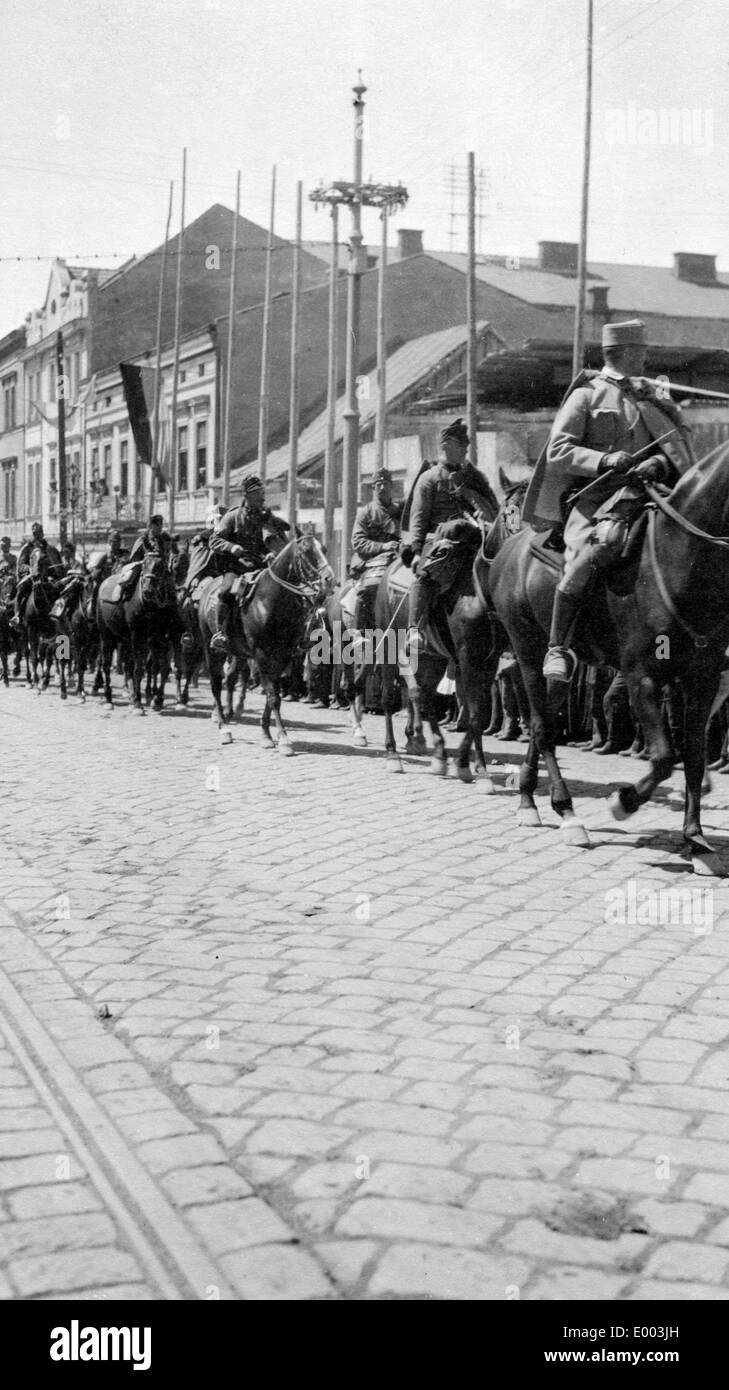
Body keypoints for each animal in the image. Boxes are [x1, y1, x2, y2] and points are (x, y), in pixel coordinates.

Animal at [96, 547, 176, 711]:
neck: (152, 607)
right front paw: (138, 703)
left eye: (161, 566)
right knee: (106, 664)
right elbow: (139, 669)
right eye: (144, 564)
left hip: (125, 639)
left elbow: (163, 668)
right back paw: (108, 698)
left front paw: (157, 699)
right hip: (107, 635)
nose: (147, 590)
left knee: (129, 665)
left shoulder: (161, 637)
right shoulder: (138, 635)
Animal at [193, 530, 332, 750]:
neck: (270, 601)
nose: (329, 580)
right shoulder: (261, 655)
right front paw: (283, 739)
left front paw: (266, 734)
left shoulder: (282, 656)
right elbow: (273, 697)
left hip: (238, 652)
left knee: (231, 677)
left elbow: (272, 695)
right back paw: (224, 728)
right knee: (216, 684)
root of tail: (208, 588)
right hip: (212, 648)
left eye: (324, 549)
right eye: (306, 551)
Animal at [489, 450, 729, 872]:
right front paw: (624, 802)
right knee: (542, 727)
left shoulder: (704, 678)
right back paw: (566, 813)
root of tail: (509, 551)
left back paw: (528, 798)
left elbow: (694, 756)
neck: (682, 554)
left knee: (541, 723)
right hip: (528, 650)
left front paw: (696, 840)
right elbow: (665, 758)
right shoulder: (641, 677)